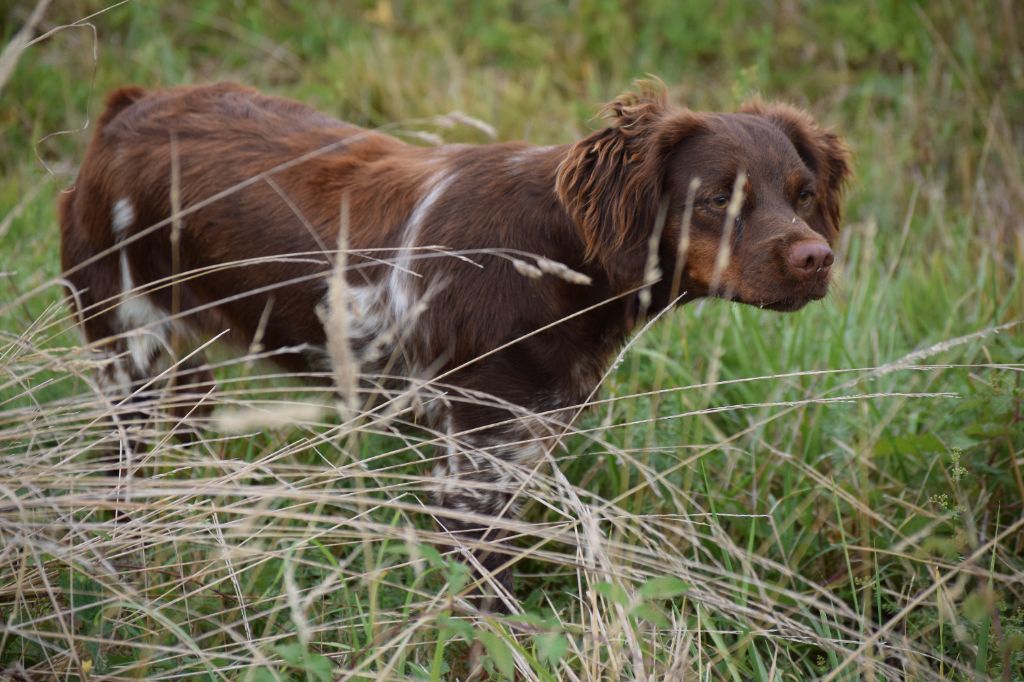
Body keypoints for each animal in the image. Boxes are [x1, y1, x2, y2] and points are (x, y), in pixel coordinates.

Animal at [59, 80, 851, 606]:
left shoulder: (523, 444)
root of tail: (124, 111)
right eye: (716, 198)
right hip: (128, 348)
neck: (558, 257)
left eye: (803, 193)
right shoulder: (472, 459)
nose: (816, 258)